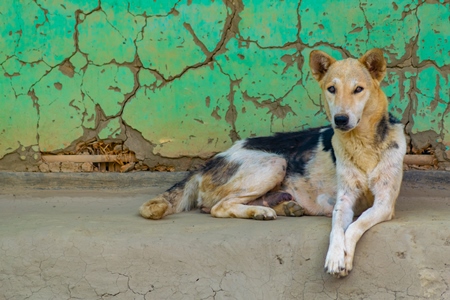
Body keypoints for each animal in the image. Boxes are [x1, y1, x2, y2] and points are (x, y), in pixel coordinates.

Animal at [139, 48, 406, 276]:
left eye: (358, 89)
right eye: (331, 89)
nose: (340, 119)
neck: (363, 145)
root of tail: (207, 164)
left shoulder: (384, 203)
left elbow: (355, 226)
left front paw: (344, 254)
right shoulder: (344, 201)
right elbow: (338, 229)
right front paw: (335, 256)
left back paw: (281, 207)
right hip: (275, 163)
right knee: (218, 207)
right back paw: (261, 211)